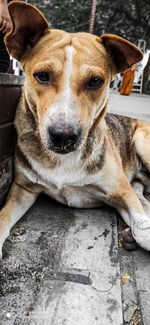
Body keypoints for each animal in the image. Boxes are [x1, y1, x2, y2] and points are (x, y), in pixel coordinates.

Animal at [0, 0, 150, 258]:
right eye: (42, 75)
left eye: (95, 81)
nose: (63, 136)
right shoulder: (23, 189)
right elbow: (2, 217)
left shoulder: (122, 191)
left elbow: (142, 227)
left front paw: (140, 233)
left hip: (142, 140)